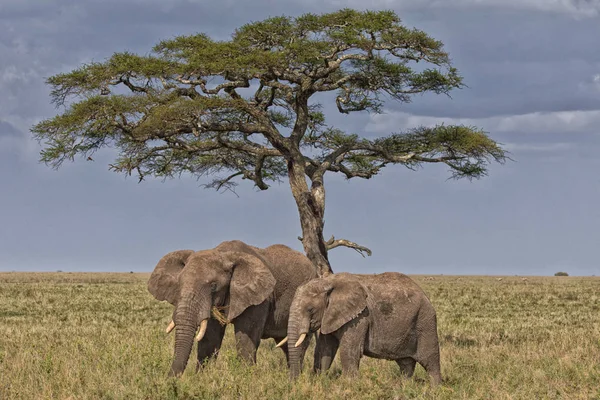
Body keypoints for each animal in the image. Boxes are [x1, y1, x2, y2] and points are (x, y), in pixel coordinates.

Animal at [149, 239, 316, 376]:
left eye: (213, 286)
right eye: (179, 283)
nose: (171, 380)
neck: (224, 254)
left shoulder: (259, 299)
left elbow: (246, 339)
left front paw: (245, 379)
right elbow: (210, 339)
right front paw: (202, 379)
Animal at [282, 272, 440, 384]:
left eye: (310, 310)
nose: (294, 382)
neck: (328, 282)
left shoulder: (360, 318)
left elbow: (348, 351)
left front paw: (350, 385)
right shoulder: (330, 317)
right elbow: (324, 350)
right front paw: (319, 380)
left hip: (425, 322)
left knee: (431, 362)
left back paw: (435, 390)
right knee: (406, 365)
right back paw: (403, 388)